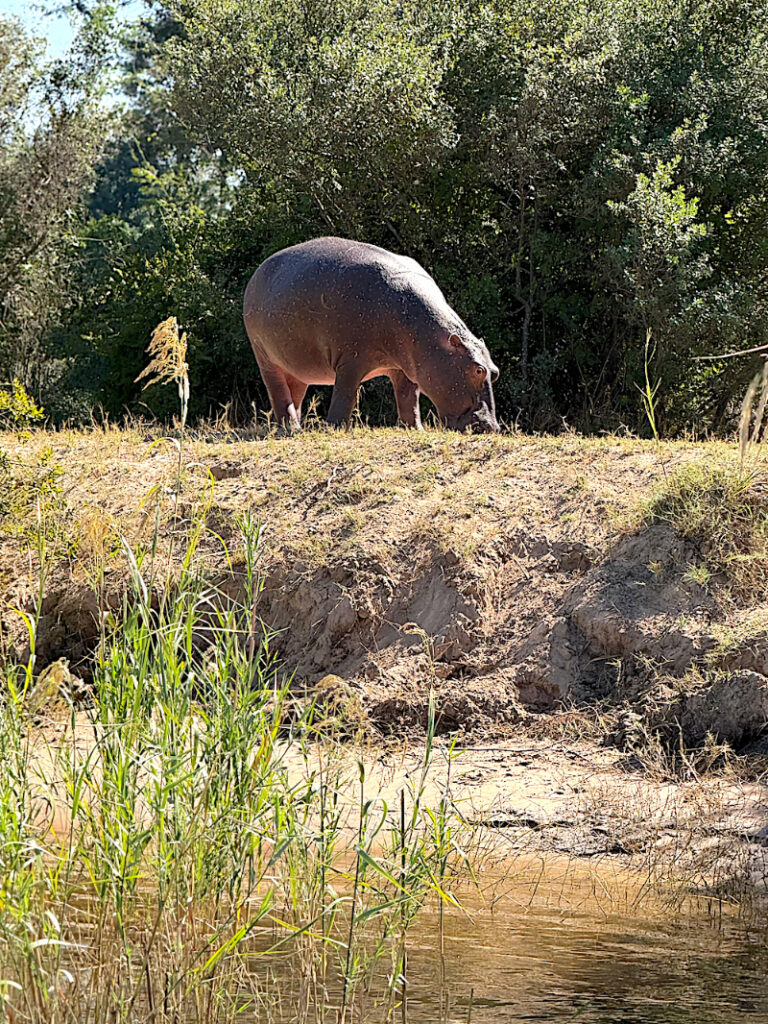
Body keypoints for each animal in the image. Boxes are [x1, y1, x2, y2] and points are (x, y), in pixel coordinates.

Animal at [243, 237, 499, 432]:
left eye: (495, 372)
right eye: (478, 370)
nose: (492, 427)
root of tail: (256, 274)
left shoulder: (406, 367)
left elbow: (409, 400)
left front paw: (417, 429)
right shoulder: (351, 360)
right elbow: (344, 395)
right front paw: (334, 428)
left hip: (297, 365)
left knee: (294, 393)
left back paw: (297, 428)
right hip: (265, 358)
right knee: (278, 392)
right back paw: (291, 429)